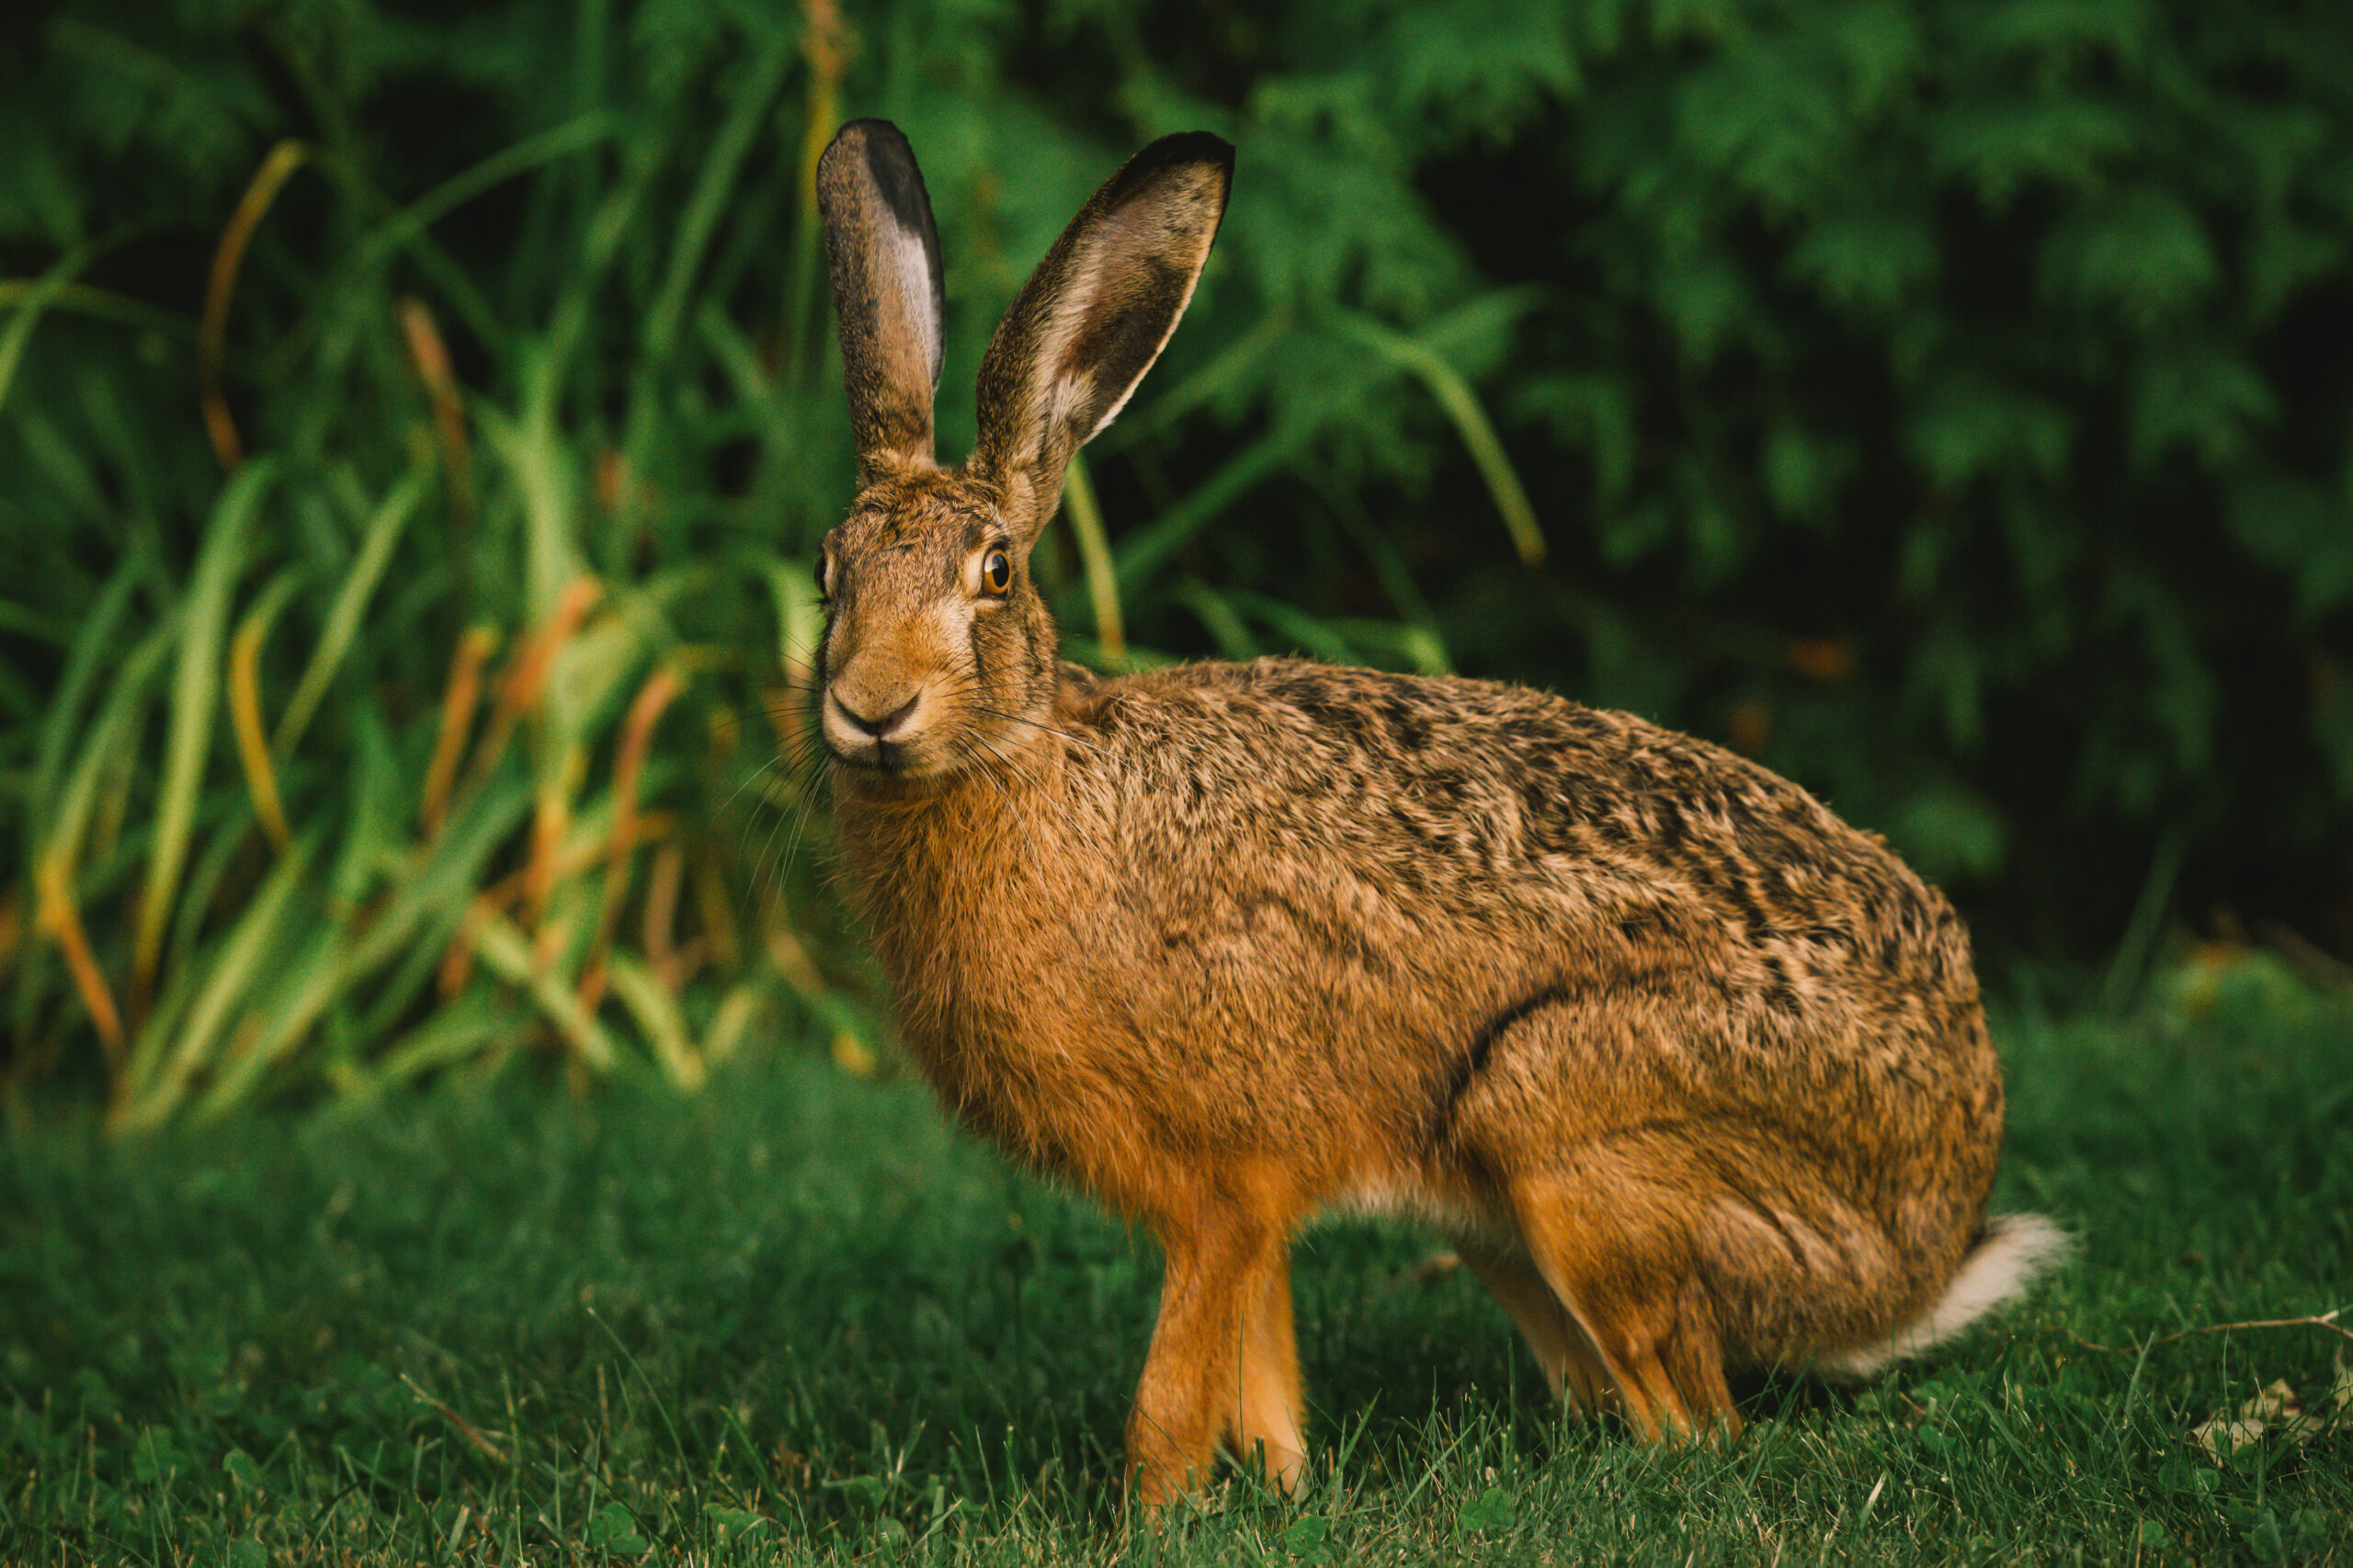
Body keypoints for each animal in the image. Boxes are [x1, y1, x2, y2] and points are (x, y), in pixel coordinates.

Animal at [809, 118, 2066, 1506]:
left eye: (996, 573)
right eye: (829, 571)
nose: (870, 708)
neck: (1027, 767)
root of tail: (1931, 1240)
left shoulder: (1224, 1183)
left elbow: (1173, 1392)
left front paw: (1154, 1515)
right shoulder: (1257, 1216)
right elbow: (1263, 1371)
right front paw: (1284, 1488)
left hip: (1559, 1118)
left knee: (1699, 1423)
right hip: (1506, 1219)